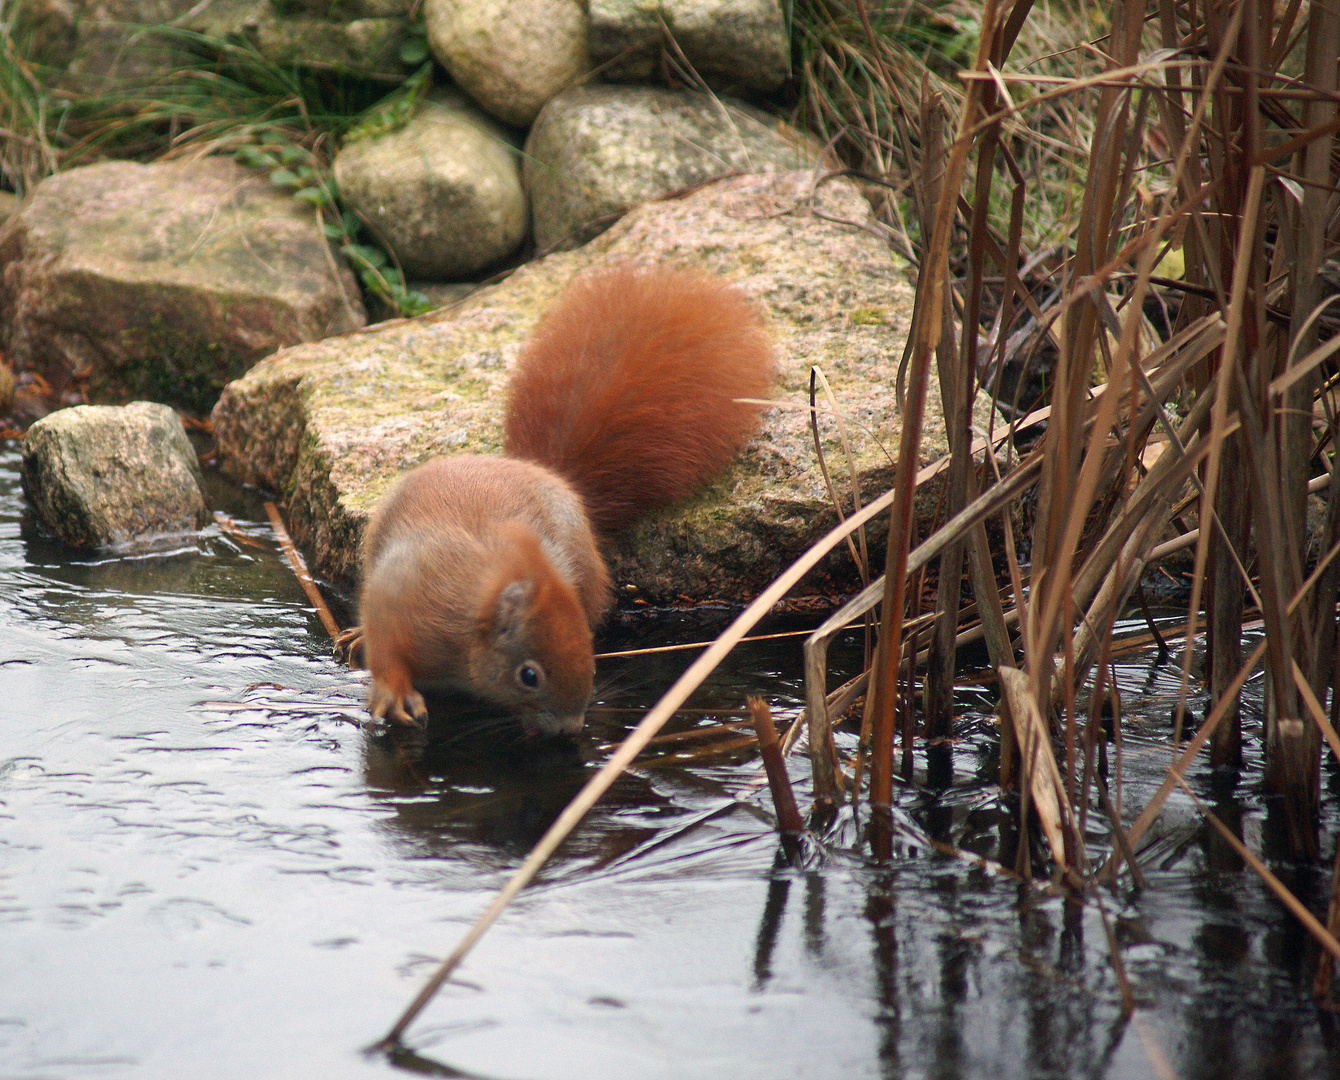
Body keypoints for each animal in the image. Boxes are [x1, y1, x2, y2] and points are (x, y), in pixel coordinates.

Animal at [351, 262, 777, 734]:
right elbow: (386, 647)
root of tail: (538, 469)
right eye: (529, 675)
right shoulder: (400, 594)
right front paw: (394, 694)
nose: (572, 727)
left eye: (589, 654)